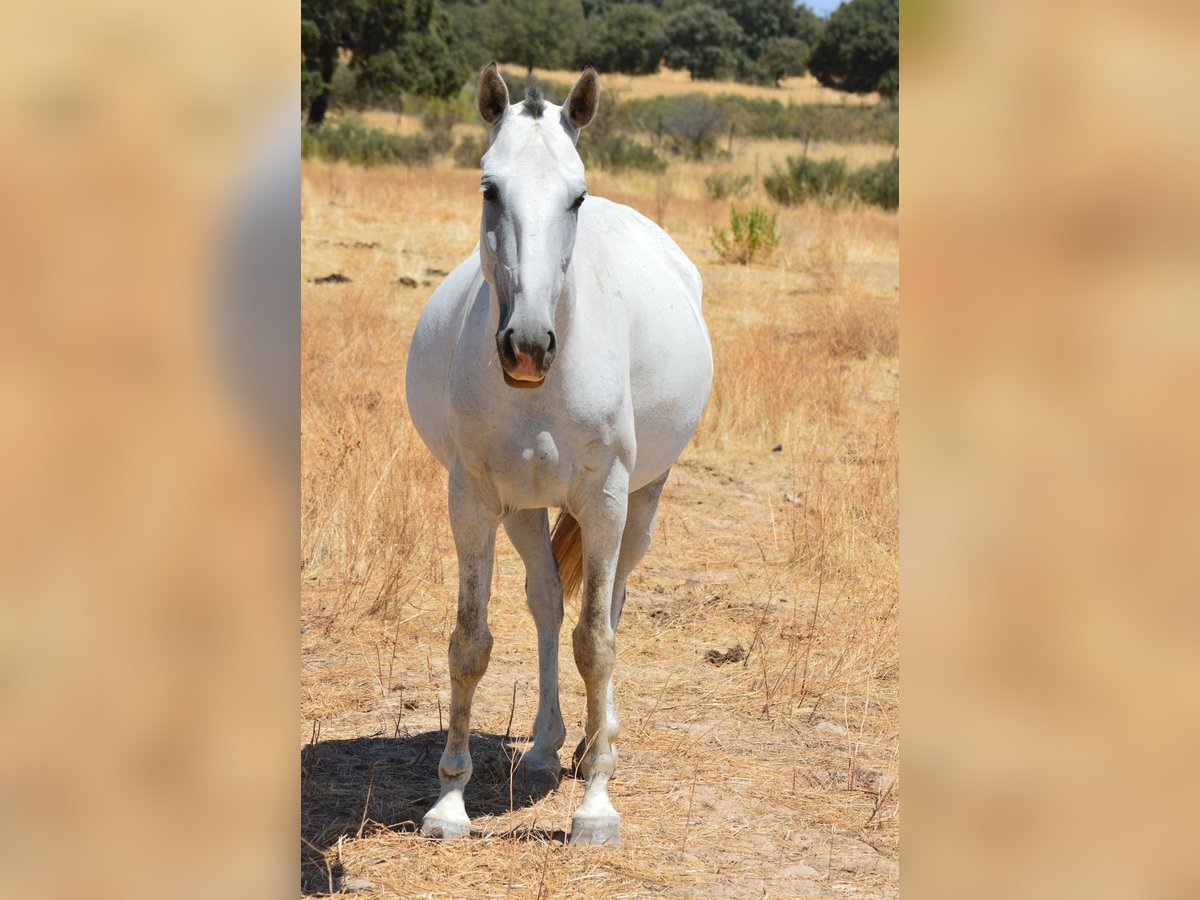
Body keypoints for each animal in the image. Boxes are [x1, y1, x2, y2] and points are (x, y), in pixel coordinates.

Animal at [408, 63, 710, 844]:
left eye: (575, 196)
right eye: (489, 188)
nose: (526, 347)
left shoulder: (604, 499)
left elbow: (595, 642)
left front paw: (596, 806)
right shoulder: (474, 499)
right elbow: (471, 642)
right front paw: (449, 801)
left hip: (643, 500)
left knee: (614, 601)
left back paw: (597, 742)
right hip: (523, 509)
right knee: (546, 602)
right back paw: (548, 746)